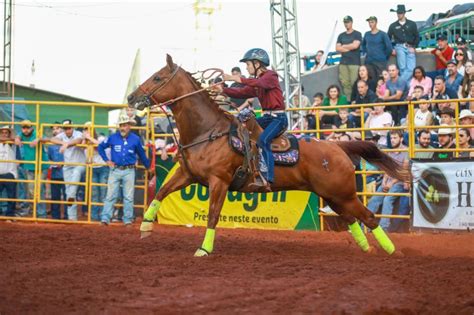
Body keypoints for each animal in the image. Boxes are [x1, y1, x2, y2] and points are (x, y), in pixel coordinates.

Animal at [129, 54, 408, 256]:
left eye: (157, 77)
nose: (132, 97)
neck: (208, 131)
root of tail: (338, 148)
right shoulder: (187, 174)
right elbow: (162, 192)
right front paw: (145, 226)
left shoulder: (219, 181)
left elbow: (212, 215)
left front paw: (204, 249)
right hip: (333, 196)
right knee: (352, 219)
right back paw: (367, 249)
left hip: (343, 193)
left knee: (369, 218)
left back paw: (393, 253)